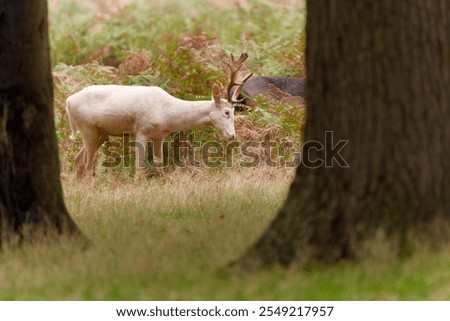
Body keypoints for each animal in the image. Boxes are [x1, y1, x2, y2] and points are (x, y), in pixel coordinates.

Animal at [66, 52, 253, 178]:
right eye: (226, 112)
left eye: (235, 111)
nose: (232, 135)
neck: (166, 113)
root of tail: (68, 101)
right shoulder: (141, 130)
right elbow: (139, 167)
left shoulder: (159, 136)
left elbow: (159, 163)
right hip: (87, 128)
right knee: (86, 163)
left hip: (100, 133)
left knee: (78, 159)